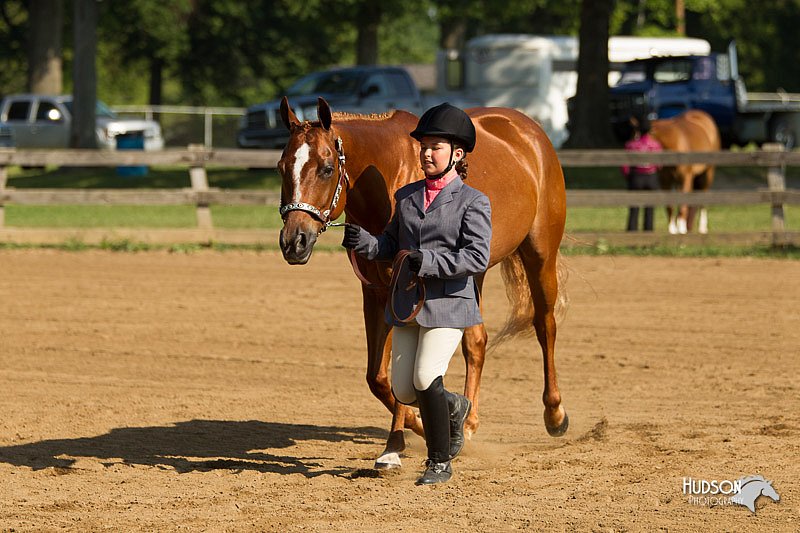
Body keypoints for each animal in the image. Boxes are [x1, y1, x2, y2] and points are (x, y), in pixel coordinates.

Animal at [278, 96, 564, 470]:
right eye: (281, 167)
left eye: (327, 168)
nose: (293, 242)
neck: (388, 176)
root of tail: (530, 131)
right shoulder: (374, 293)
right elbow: (379, 377)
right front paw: (418, 425)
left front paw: (395, 445)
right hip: (471, 274)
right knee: (476, 342)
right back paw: (468, 423)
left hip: (540, 255)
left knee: (545, 325)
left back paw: (555, 414)